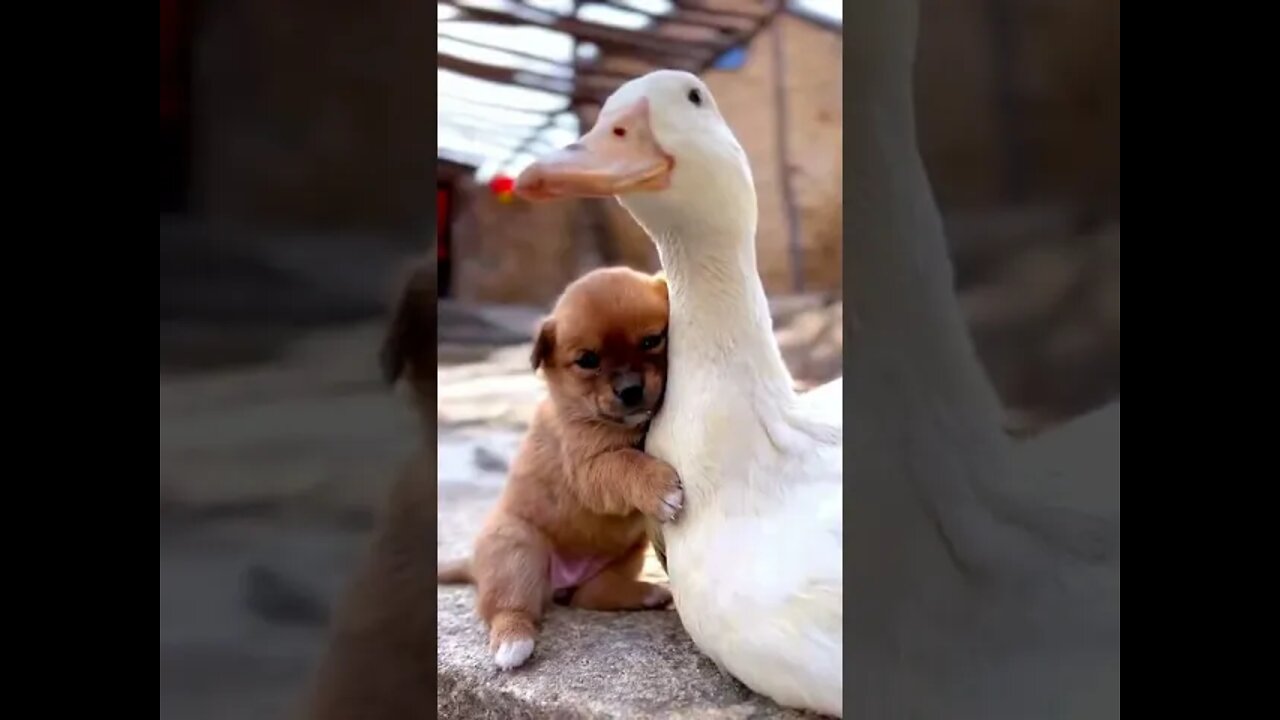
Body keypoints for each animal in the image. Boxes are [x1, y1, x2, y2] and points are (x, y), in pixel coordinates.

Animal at [437, 263, 680, 666]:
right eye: (588, 360)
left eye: (651, 341)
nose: (630, 390)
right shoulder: (588, 468)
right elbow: (627, 462)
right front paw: (659, 486)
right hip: (517, 549)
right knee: (509, 605)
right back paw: (513, 642)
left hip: (628, 551)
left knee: (591, 594)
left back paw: (648, 593)